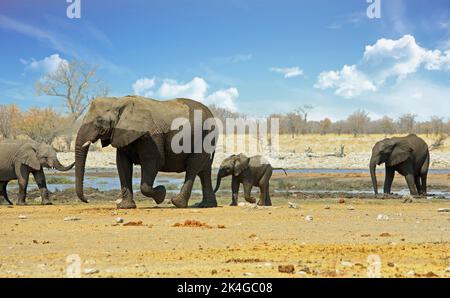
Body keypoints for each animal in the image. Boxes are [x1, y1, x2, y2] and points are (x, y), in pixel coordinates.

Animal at [75, 96, 218, 210]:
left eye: (99, 121)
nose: (87, 200)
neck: (118, 101)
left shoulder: (150, 136)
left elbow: (154, 161)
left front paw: (161, 194)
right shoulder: (121, 133)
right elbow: (122, 164)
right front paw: (125, 207)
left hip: (204, 138)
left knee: (193, 168)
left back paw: (178, 203)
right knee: (204, 171)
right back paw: (207, 205)